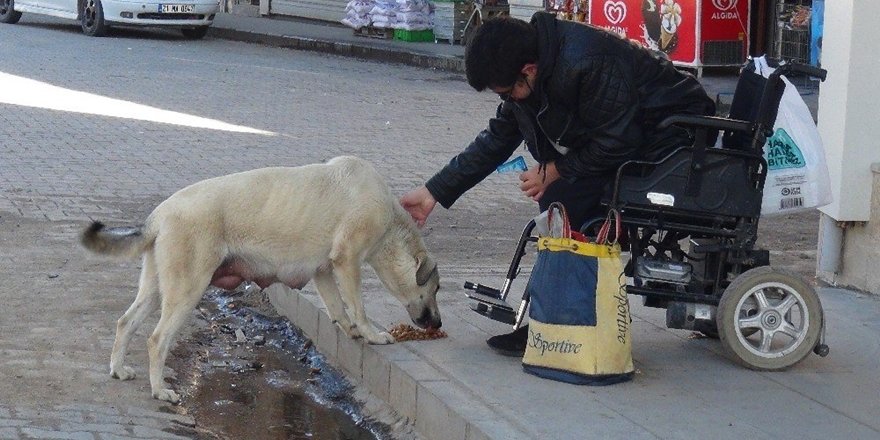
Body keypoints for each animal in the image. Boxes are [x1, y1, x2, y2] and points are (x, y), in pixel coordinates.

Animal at [81, 156, 440, 402]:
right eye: (435, 288)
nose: (437, 323)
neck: (391, 221)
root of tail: (159, 215)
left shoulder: (325, 271)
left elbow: (338, 306)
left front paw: (350, 328)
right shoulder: (347, 261)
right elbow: (358, 306)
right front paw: (370, 333)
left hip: (157, 287)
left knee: (126, 322)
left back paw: (118, 369)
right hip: (187, 289)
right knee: (157, 340)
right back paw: (159, 390)